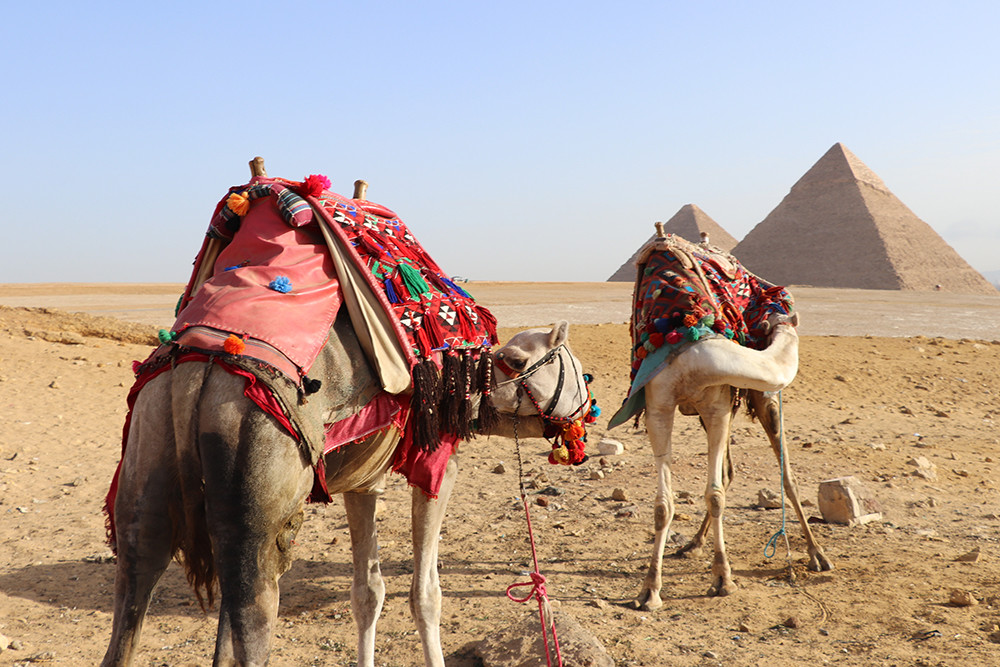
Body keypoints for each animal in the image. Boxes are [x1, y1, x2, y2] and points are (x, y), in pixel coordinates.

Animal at [101, 315, 589, 667]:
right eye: (577, 370)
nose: (588, 409)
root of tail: (196, 376)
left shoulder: (362, 479)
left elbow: (366, 592)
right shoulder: (437, 466)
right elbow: (425, 596)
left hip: (149, 451)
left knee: (135, 595)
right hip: (252, 454)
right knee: (254, 614)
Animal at [608, 229, 832, 609]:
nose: (788, 311)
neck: (690, 342)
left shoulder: (718, 405)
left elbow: (714, 495)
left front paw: (723, 579)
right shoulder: (659, 407)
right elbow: (663, 505)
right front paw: (649, 589)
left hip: (755, 400)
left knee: (785, 476)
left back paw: (817, 555)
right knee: (729, 472)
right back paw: (692, 544)